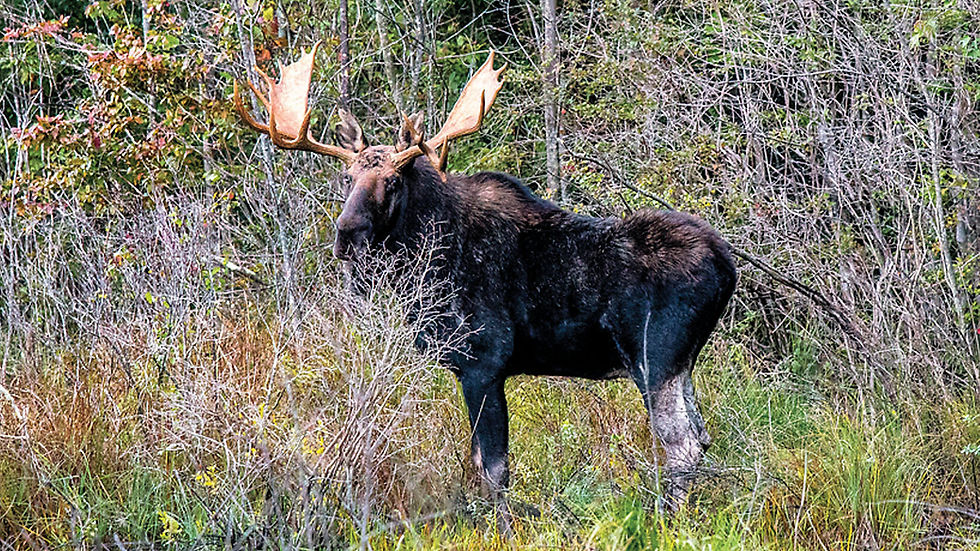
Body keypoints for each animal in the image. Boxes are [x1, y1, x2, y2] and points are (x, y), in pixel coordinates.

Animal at [233, 42, 736, 530]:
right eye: (346, 178)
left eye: (392, 181)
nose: (347, 234)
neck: (421, 269)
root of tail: (727, 265)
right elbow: (483, 466)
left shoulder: (482, 362)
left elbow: (494, 470)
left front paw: (505, 532)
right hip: (681, 362)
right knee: (701, 437)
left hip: (655, 355)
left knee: (682, 444)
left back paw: (666, 523)